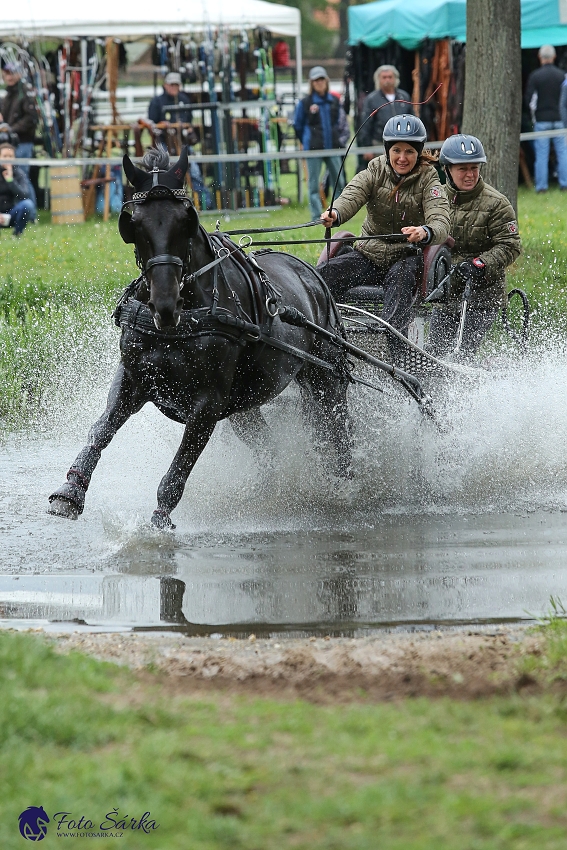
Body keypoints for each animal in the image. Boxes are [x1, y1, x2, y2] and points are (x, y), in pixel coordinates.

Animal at [48, 149, 350, 528]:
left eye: (185, 220)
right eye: (135, 223)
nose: (165, 305)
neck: (179, 324)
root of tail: (312, 274)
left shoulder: (208, 403)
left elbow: (180, 466)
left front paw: (159, 521)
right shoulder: (133, 379)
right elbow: (100, 430)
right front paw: (69, 492)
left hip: (326, 379)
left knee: (337, 433)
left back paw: (341, 487)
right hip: (245, 408)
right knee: (269, 449)